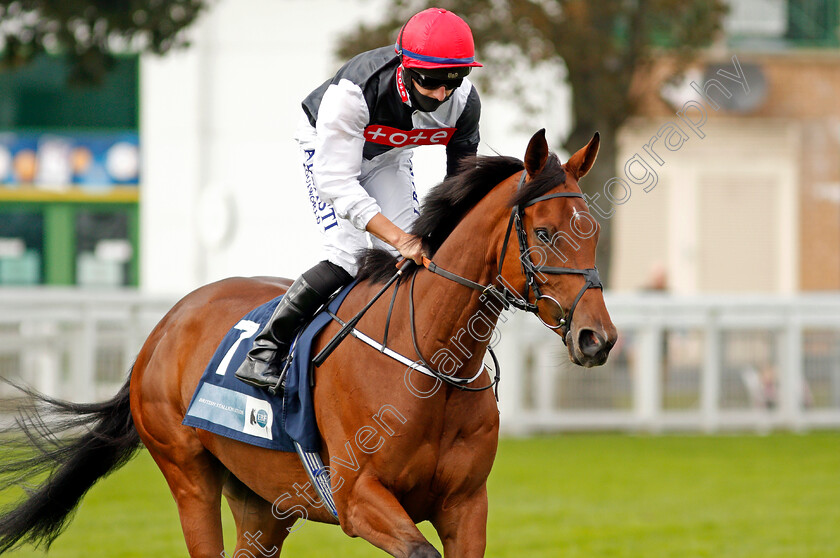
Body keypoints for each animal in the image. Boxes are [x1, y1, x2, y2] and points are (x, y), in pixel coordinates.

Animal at [0, 129, 616, 556]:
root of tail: (163, 327)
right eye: (543, 233)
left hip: (265, 501)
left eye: (593, 230)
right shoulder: (358, 498)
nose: (598, 338)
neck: (430, 363)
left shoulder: (466, 505)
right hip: (188, 474)